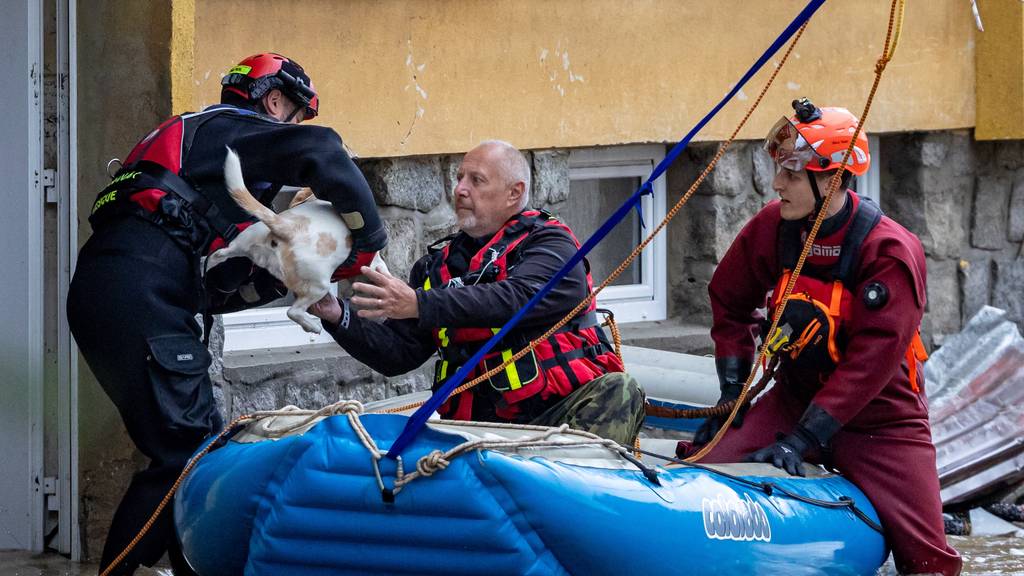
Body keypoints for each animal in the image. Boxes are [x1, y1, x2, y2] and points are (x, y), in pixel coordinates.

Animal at [207, 148, 387, 332]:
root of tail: (287, 227)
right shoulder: (376, 263)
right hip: (319, 286)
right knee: (293, 312)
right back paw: (312, 326)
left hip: (241, 243)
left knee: (218, 255)